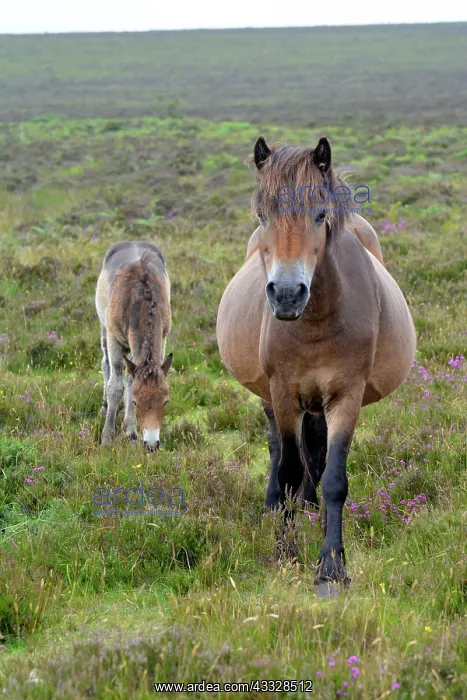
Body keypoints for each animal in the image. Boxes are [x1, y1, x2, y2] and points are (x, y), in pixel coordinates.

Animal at [95, 241, 173, 451]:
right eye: (137, 403)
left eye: (166, 402)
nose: (152, 444)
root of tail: (133, 242)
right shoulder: (114, 339)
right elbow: (115, 388)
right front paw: (107, 437)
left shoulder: (163, 337)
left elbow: (130, 382)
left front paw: (131, 432)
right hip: (104, 329)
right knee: (106, 364)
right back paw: (104, 406)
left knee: (130, 376)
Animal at [216, 137, 416, 586]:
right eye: (263, 215)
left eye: (320, 214)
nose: (288, 294)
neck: (316, 322)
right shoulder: (283, 394)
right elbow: (290, 470)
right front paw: (286, 552)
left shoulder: (346, 396)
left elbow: (334, 478)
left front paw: (331, 564)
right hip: (270, 397)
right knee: (278, 450)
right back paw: (275, 507)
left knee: (319, 456)